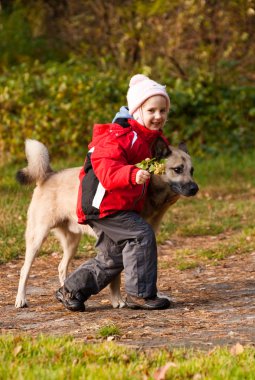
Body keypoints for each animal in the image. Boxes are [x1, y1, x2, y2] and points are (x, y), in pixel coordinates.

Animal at [14, 140, 198, 308]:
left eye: (192, 170)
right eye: (178, 169)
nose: (195, 188)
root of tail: (49, 175)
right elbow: (115, 277)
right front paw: (118, 301)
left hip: (72, 243)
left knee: (61, 267)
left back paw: (67, 294)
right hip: (37, 239)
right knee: (24, 270)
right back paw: (21, 299)